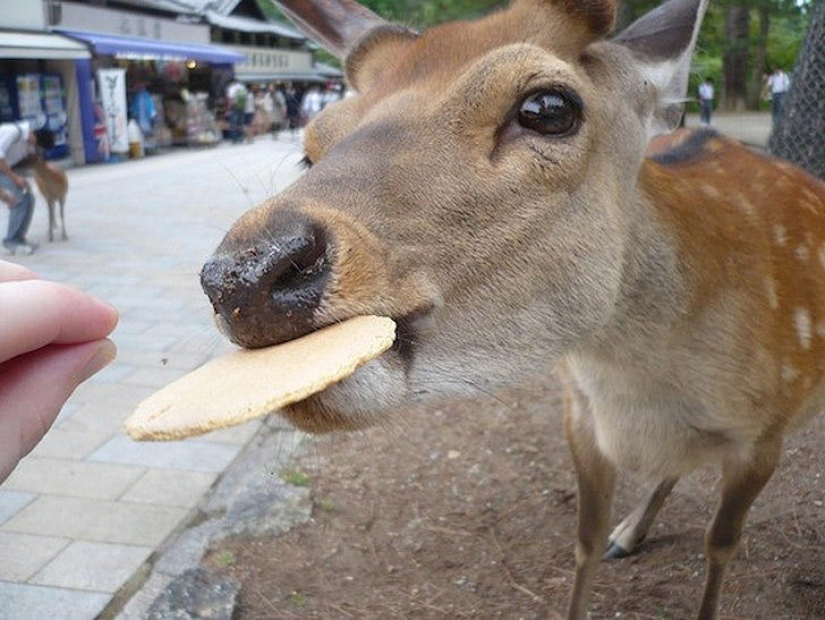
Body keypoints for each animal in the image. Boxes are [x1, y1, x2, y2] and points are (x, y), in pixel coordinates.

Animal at [200, 0, 824, 616]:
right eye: (311, 149)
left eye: (549, 108)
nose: (242, 277)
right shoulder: (578, 412)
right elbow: (585, 539)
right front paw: (609, 538)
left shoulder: (765, 436)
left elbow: (721, 545)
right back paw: (630, 533)